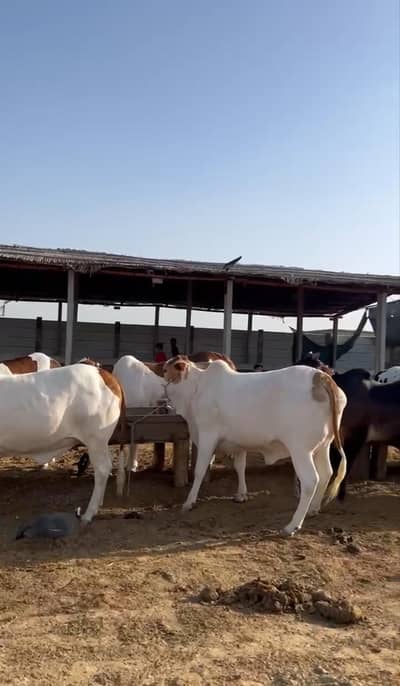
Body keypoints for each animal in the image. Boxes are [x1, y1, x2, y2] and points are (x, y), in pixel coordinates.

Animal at [161, 355, 347, 536]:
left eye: (165, 369)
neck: (196, 388)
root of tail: (321, 376)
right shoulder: (239, 444)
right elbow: (240, 466)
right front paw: (241, 494)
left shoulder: (207, 435)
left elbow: (199, 471)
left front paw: (189, 502)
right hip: (323, 447)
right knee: (326, 473)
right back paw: (313, 509)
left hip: (301, 450)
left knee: (310, 481)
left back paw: (292, 526)